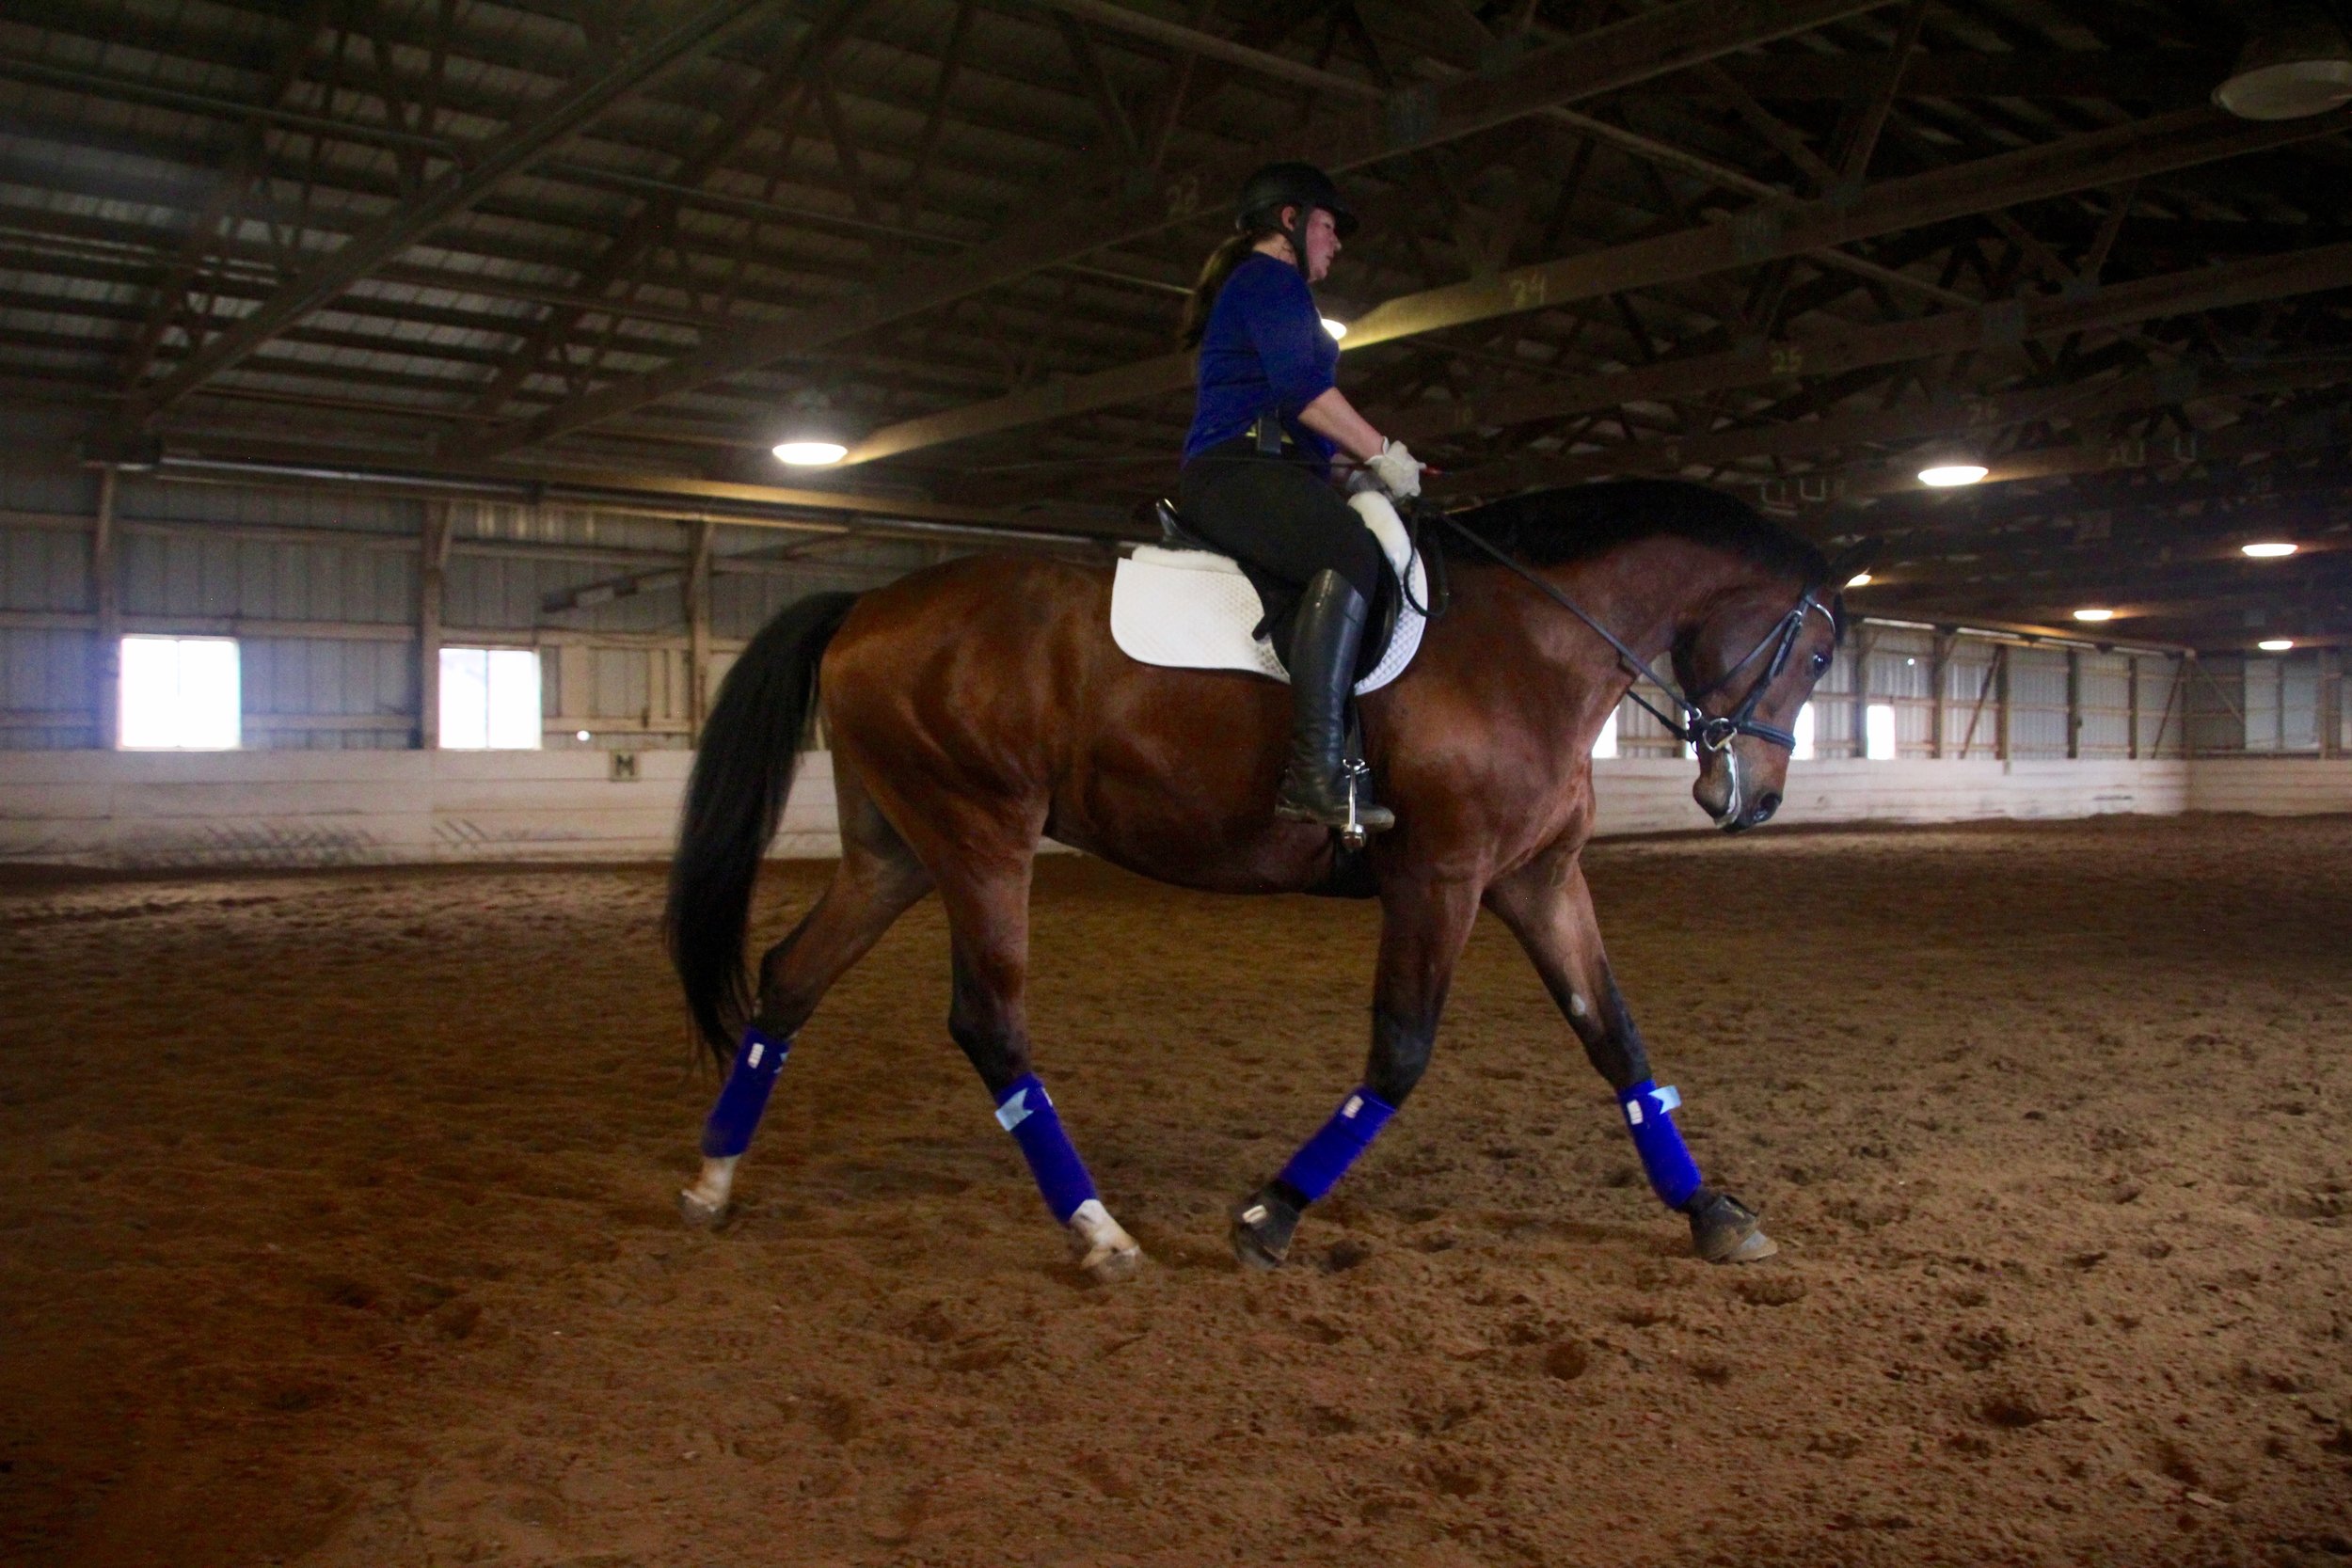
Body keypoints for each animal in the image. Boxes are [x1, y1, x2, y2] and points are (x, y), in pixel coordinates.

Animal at [665, 478, 1856, 1281]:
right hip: (980, 835)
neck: (1530, 645)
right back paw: (1100, 1232)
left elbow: (1617, 1038)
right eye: (1816, 656)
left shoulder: (1538, 878)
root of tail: (866, 604)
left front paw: (1713, 1212)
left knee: (789, 976)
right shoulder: (1442, 876)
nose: (1750, 799)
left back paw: (712, 1181)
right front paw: (1269, 1214)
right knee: (987, 1022)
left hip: (900, 848)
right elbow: (1400, 1052)